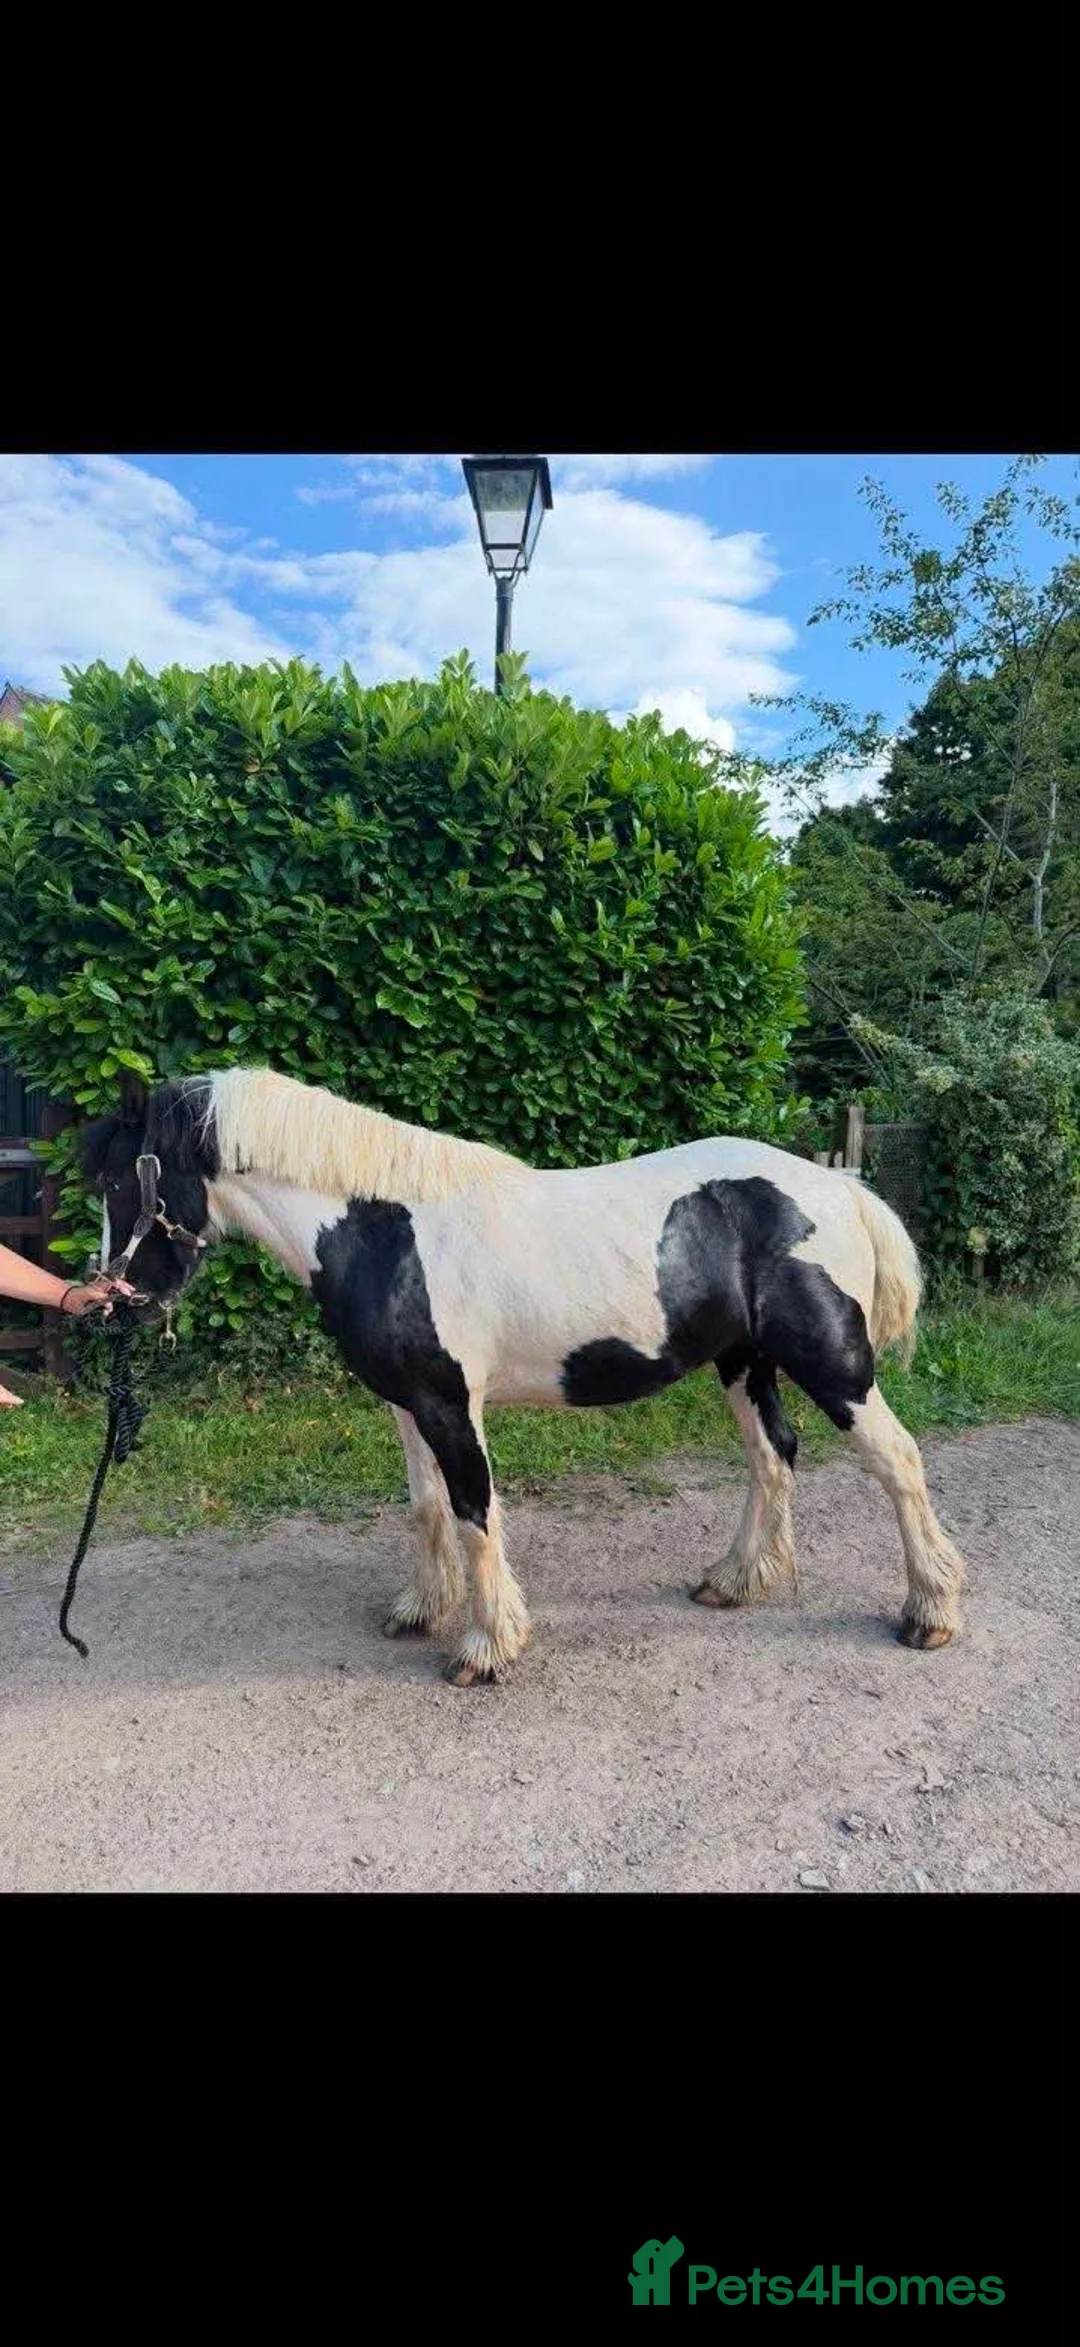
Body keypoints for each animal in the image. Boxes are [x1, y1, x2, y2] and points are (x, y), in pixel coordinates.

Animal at [82, 1066, 967, 1687]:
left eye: (120, 1182)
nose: (115, 1298)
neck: (384, 1231)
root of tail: (842, 1187)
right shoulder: (406, 1404)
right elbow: (426, 1507)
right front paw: (421, 1610)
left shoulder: (451, 1404)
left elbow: (475, 1511)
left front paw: (485, 1647)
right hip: (743, 1362)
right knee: (772, 1456)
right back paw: (735, 1580)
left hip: (834, 1364)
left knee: (898, 1461)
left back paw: (929, 1611)